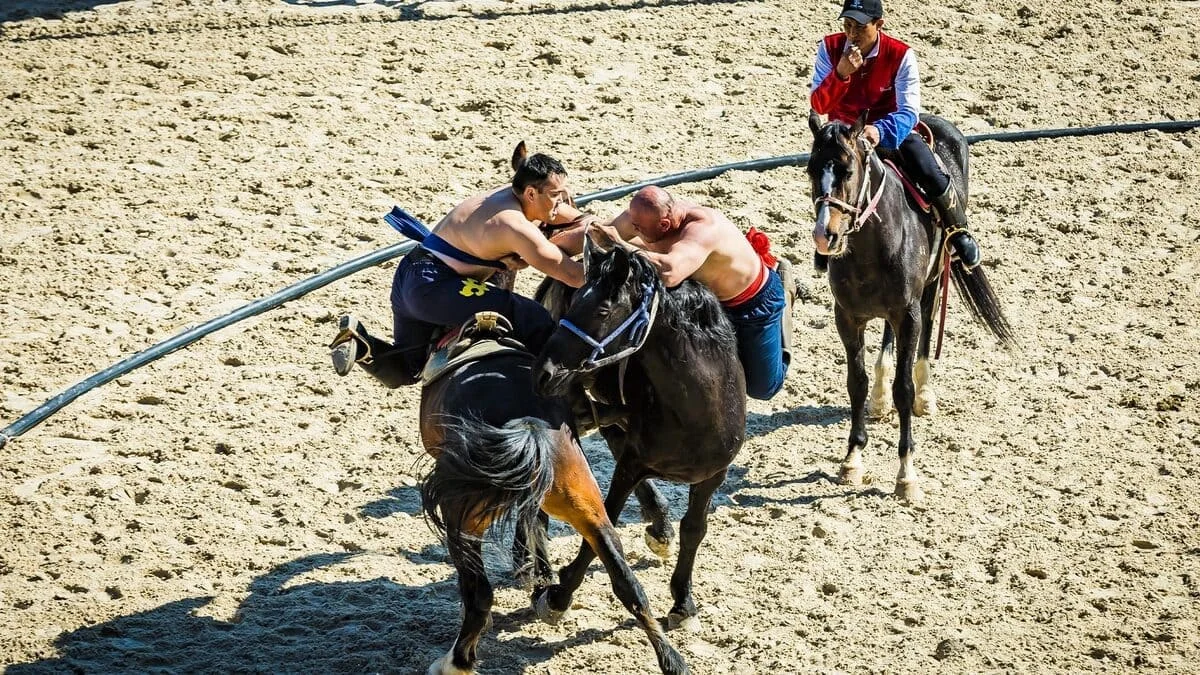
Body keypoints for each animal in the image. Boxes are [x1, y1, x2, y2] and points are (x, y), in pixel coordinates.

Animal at [420, 312, 691, 672]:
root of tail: (529, 424)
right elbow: (535, 524)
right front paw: (540, 578)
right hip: (589, 510)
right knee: (628, 584)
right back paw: (673, 660)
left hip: (463, 520)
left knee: (479, 594)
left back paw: (456, 661)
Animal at [532, 229, 739, 629]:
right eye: (574, 301)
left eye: (602, 310)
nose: (544, 371)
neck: (694, 412)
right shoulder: (631, 465)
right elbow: (603, 524)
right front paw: (560, 595)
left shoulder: (712, 475)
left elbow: (695, 529)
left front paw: (682, 601)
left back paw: (661, 529)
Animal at [806, 110, 1012, 499]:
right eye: (811, 170)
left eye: (848, 171)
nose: (825, 236)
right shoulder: (848, 317)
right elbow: (854, 382)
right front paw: (852, 460)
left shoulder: (909, 313)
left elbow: (904, 388)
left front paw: (906, 474)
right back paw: (878, 396)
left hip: (932, 282)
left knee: (928, 328)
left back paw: (925, 395)